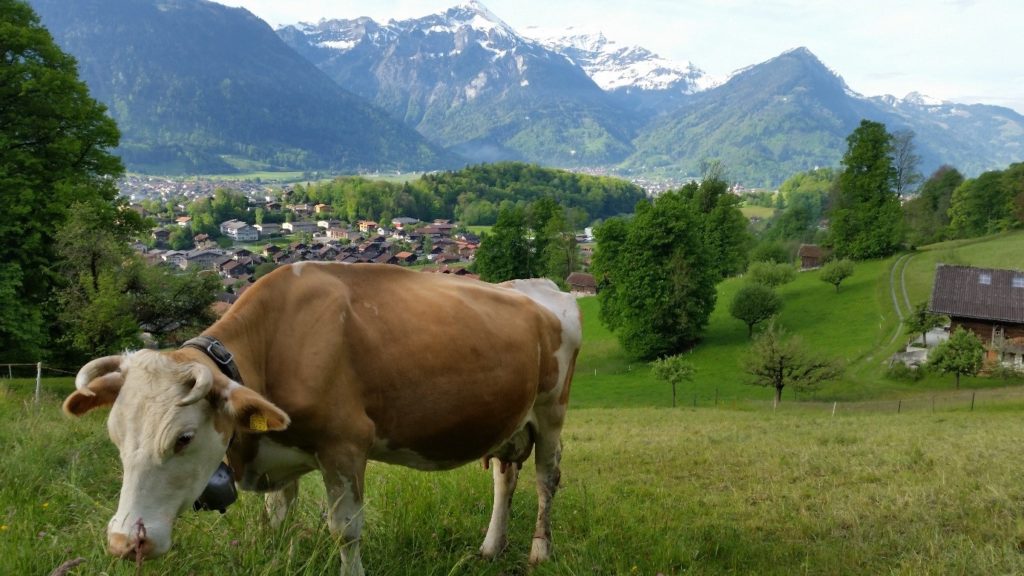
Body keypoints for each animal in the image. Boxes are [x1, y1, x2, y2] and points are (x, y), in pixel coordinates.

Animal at [61, 261, 577, 573]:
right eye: (115, 437)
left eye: (183, 438)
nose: (124, 542)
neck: (273, 345)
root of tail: (540, 287)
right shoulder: (278, 455)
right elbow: (274, 523)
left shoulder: (345, 446)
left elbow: (345, 530)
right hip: (510, 420)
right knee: (504, 477)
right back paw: (492, 547)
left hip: (552, 412)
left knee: (545, 480)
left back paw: (540, 551)